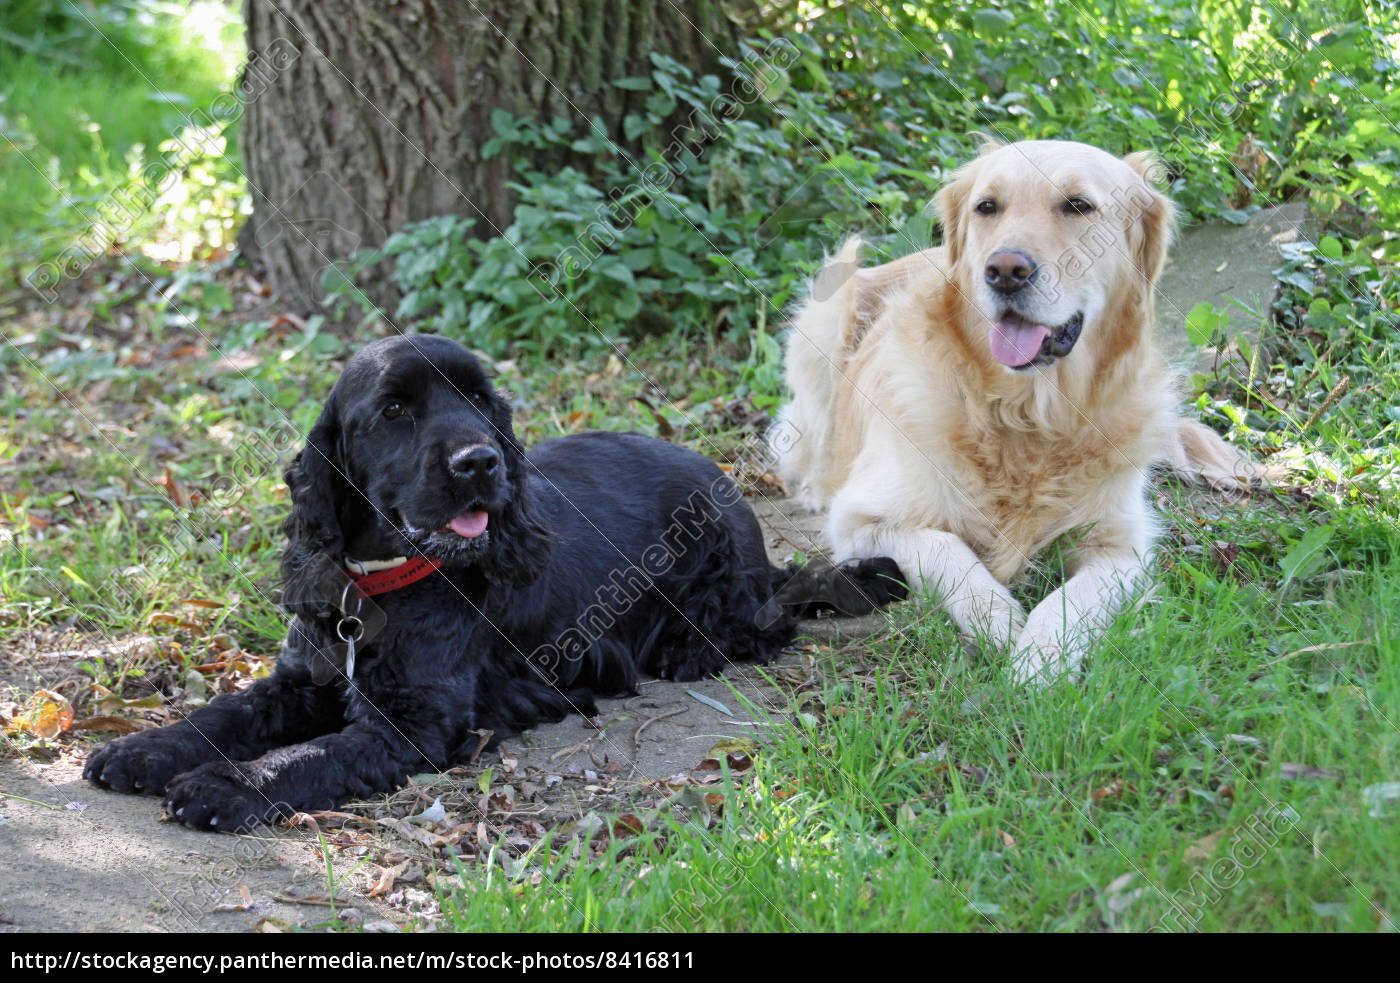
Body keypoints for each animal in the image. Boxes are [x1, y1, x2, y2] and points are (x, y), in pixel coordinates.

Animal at [81, 337, 901, 828]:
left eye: (479, 399)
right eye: (396, 409)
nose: (480, 461)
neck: (381, 588)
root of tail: (725, 478)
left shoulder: (415, 723)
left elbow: (310, 754)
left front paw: (224, 787)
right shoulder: (299, 681)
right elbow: (223, 714)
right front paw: (145, 748)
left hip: (726, 589)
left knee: (772, 613)